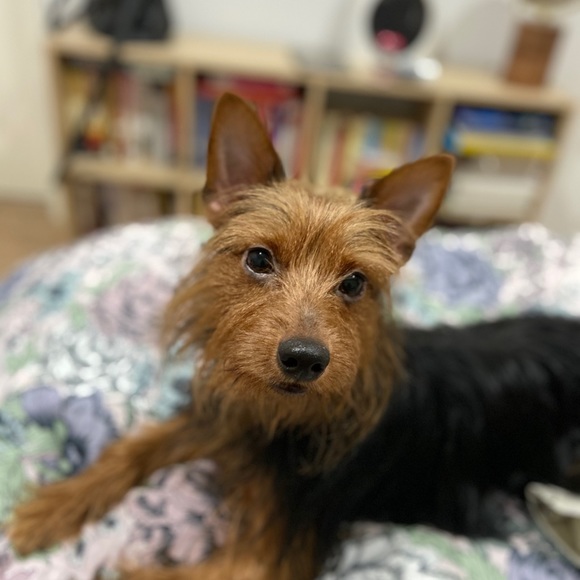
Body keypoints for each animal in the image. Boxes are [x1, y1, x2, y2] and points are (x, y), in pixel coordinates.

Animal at [8, 93, 580, 579]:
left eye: (354, 283)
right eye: (259, 259)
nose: (305, 359)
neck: (279, 419)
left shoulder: (265, 556)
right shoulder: (225, 415)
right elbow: (134, 447)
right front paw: (51, 508)